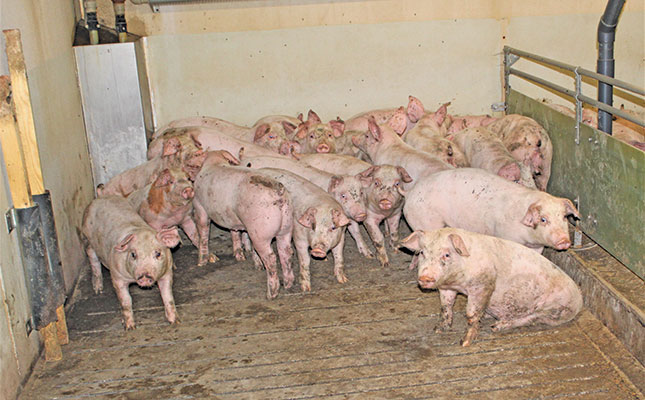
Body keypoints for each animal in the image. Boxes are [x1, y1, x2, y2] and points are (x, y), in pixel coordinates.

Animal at [82, 196, 180, 330]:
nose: (144, 275)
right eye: (133, 254)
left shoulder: (166, 273)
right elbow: (126, 301)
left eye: (158, 254)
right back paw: (98, 290)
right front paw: (130, 327)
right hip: (88, 238)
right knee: (92, 256)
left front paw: (175, 321)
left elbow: (168, 297)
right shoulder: (117, 277)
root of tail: (99, 198)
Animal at [192, 151, 294, 299]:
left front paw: (201, 263)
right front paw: (241, 257)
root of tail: (278, 191)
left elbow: (203, 232)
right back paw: (288, 285)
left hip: (261, 232)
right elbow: (236, 233)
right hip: (286, 227)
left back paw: (271, 294)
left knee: (271, 257)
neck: (214, 162)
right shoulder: (234, 219)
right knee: (286, 252)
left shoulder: (199, 206)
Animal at [400, 228, 583, 346]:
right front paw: (439, 329)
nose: (425, 277)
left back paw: (496, 326)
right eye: (422, 252)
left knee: (530, 318)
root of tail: (579, 300)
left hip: (553, 310)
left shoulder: (483, 285)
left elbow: (471, 314)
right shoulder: (447, 288)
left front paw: (465, 342)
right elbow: (446, 306)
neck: (458, 281)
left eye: (446, 254)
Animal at [403, 168, 580, 254]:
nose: (564, 241)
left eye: (564, 218)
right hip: (426, 220)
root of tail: (410, 193)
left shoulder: (537, 246)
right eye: (543, 219)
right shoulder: (507, 236)